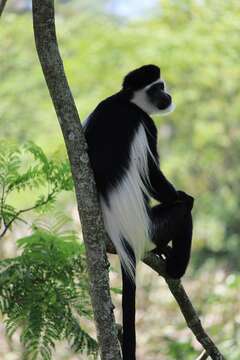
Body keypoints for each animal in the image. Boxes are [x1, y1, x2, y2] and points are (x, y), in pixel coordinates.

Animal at [83, 65, 194, 360]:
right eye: (156, 89)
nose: (167, 95)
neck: (126, 101)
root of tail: (122, 239)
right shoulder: (146, 125)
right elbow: (154, 176)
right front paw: (183, 195)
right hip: (150, 227)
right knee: (183, 215)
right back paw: (174, 267)